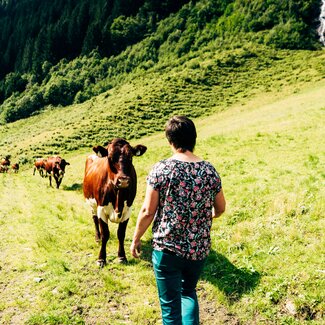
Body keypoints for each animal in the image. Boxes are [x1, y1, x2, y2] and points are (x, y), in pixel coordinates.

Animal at [83, 137, 146, 266]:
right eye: (110, 158)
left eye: (130, 157)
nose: (123, 181)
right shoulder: (101, 209)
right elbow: (105, 234)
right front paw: (101, 258)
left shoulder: (128, 210)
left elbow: (121, 234)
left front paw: (122, 256)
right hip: (92, 204)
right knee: (94, 219)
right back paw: (97, 237)